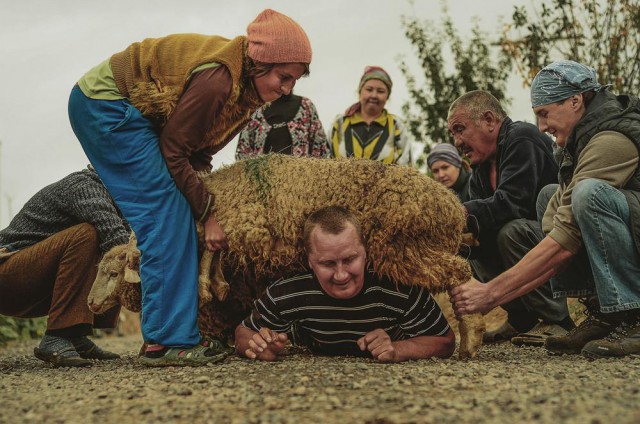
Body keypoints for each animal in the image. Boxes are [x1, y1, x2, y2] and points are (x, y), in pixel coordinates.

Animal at [90, 154, 484, 360]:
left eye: (112, 273)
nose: (92, 304)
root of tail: (453, 207)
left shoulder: (241, 239)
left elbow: (211, 283)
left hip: (406, 248)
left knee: (460, 273)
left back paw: (471, 339)